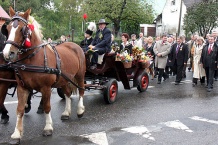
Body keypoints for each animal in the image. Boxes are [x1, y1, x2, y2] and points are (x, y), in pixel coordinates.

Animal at [2, 6, 86, 143]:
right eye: (8, 29)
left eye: (21, 29)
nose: (7, 53)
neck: (32, 59)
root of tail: (74, 44)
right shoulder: (22, 87)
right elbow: (20, 109)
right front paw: (17, 133)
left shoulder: (46, 88)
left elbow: (47, 107)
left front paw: (48, 127)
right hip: (64, 79)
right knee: (68, 94)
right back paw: (66, 112)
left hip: (80, 75)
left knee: (81, 90)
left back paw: (80, 110)